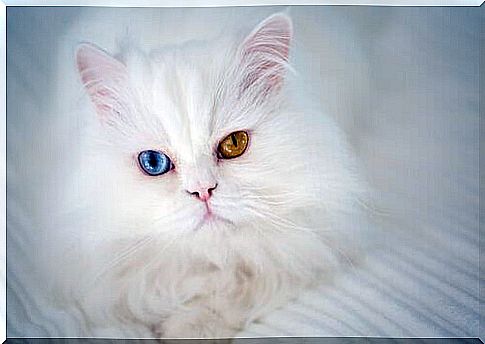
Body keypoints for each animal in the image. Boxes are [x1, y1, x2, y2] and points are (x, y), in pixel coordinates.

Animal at [16, 10, 366, 338]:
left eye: (234, 144)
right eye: (153, 162)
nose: (203, 190)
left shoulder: (300, 252)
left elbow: (237, 292)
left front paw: (189, 328)